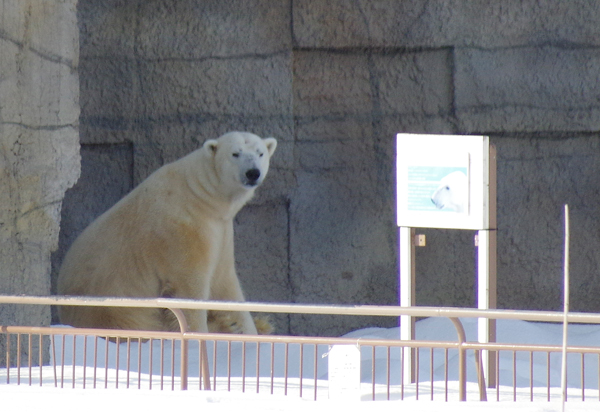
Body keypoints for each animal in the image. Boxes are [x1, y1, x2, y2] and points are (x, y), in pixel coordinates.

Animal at [56, 132, 276, 334]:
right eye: (235, 154)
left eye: (260, 153)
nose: (252, 173)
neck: (200, 194)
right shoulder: (182, 231)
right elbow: (189, 290)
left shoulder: (220, 229)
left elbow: (224, 284)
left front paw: (245, 330)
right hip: (116, 309)